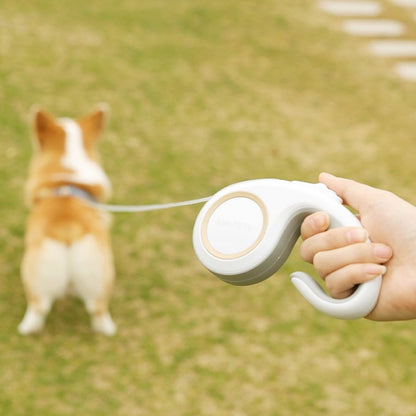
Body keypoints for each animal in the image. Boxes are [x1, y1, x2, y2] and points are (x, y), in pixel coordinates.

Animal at [19, 105, 116, 336]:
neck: (67, 181)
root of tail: (67, 228)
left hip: (32, 275)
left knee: (37, 309)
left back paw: (26, 328)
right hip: (101, 276)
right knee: (99, 311)